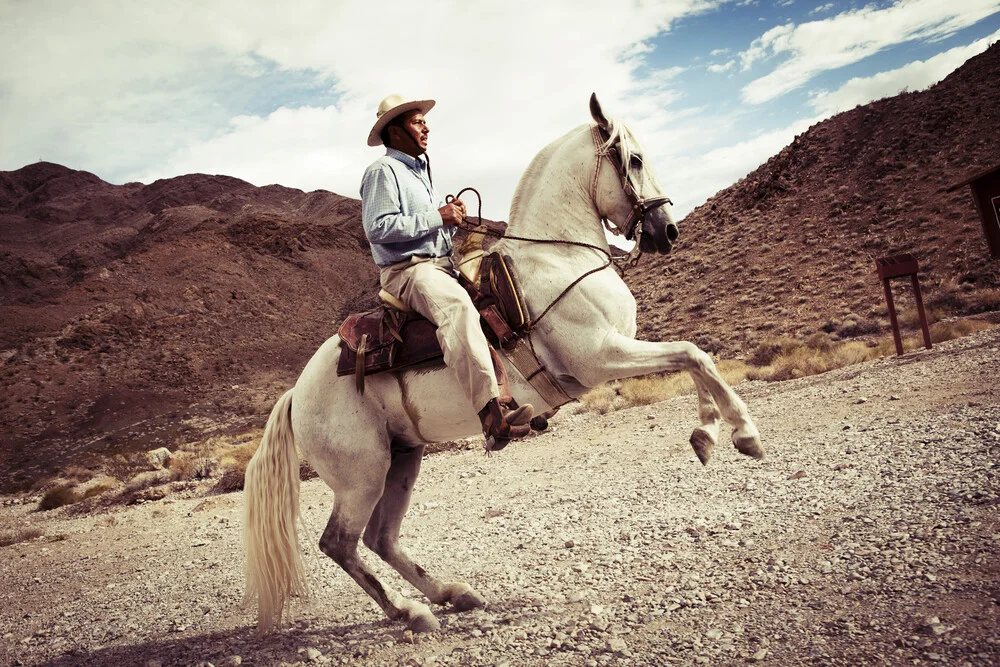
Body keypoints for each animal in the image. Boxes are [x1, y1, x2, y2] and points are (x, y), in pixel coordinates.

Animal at [246, 95, 760, 636]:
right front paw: (741, 435)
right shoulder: (602, 356)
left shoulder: (615, 352)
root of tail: (296, 395)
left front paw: (709, 436)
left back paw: (452, 594)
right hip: (361, 475)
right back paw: (409, 611)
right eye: (635, 160)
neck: (559, 262)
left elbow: (694, 358)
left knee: (379, 539)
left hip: (403, 459)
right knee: (339, 543)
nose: (668, 231)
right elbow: (693, 353)